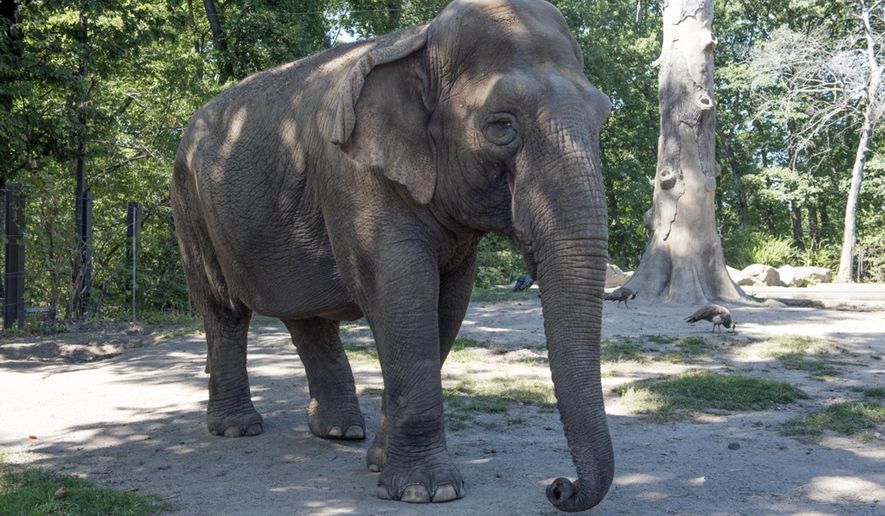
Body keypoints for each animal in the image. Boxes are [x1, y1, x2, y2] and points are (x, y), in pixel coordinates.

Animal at [171, 0, 613, 511]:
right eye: (502, 126)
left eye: (602, 120)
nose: (559, 487)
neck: (420, 42)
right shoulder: (353, 174)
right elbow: (402, 292)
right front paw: (429, 492)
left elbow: (447, 302)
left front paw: (383, 463)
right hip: (188, 202)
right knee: (223, 309)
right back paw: (237, 429)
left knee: (306, 319)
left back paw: (340, 431)